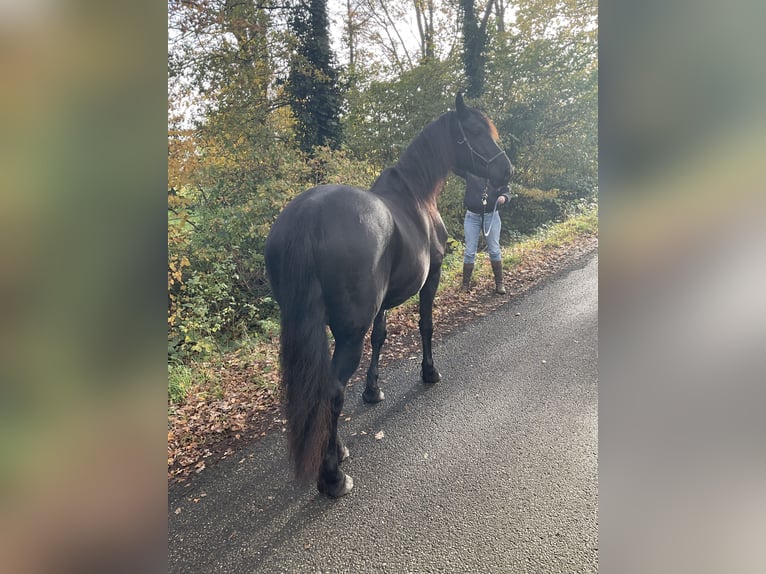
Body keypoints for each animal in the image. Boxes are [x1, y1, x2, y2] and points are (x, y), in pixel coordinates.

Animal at [266, 94, 516, 500]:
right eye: (477, 131)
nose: (505, 170)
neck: (416, 196)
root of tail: (308, 218)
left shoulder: (382, 303)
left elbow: (381, 338)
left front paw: (373, 391)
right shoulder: (432, 277)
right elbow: (426, 325)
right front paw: (429, 372)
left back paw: (337, 450)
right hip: (349, 332)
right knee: (332, 390)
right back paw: (333, 477)